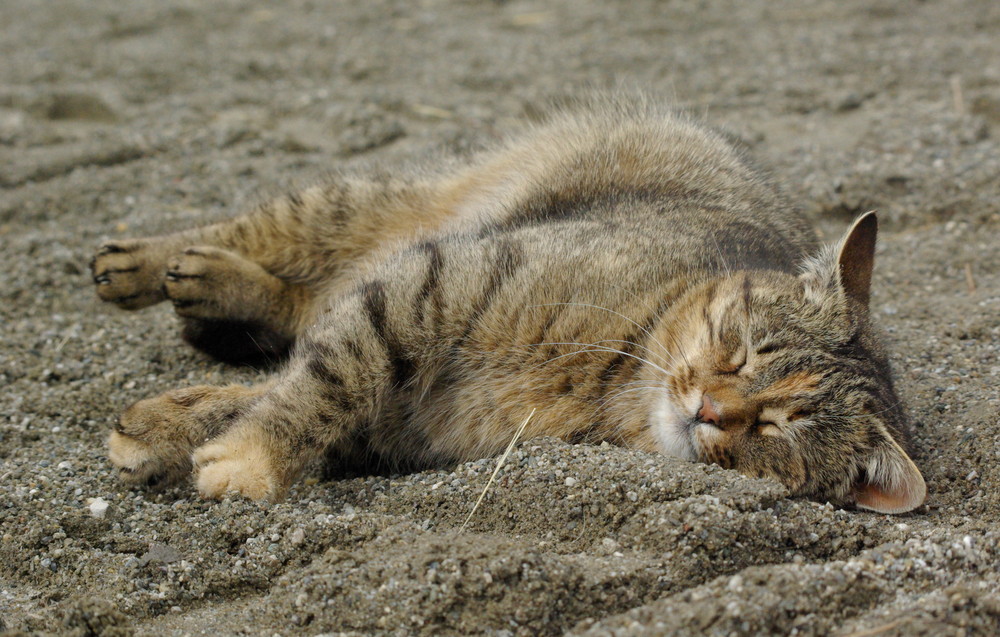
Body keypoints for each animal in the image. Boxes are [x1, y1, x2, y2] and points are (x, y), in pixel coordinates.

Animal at [90, 95, 924, 512]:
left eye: (778, 427)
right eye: (742, 348)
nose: (710, 410)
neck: (614, 381)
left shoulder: (404, 417)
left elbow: (296, 383)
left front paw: (181, 430)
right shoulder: (429, 283)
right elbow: (322, 379)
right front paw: (246, 456)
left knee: (305, 306)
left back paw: (211, 301)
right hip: (382, 209)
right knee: (279, 244)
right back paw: (153, 263)